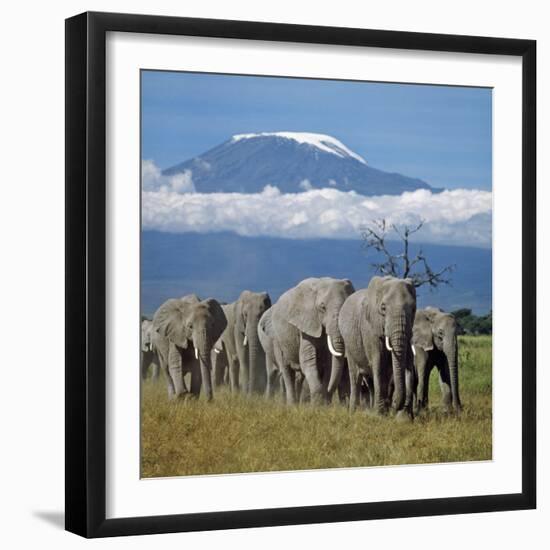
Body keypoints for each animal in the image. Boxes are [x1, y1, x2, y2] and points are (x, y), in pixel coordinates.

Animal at [272, 278, 358, 408]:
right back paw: (292, 406)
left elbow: (329, 364)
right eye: (322, 307)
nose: (328, 394)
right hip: (277, 339)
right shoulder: (307, 322)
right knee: (286, 371)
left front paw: (324, 405)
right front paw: (316, 405)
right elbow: (308, 360)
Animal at [338, 278, 416, 420]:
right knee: (355, 376)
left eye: (413, 309)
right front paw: (380, 416)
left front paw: (404, 419)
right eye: (383, 308)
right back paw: (354, 412)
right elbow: (378, 362)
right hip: (349, 344)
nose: (394, 404)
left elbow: (408, 363)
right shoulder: (369, 328)